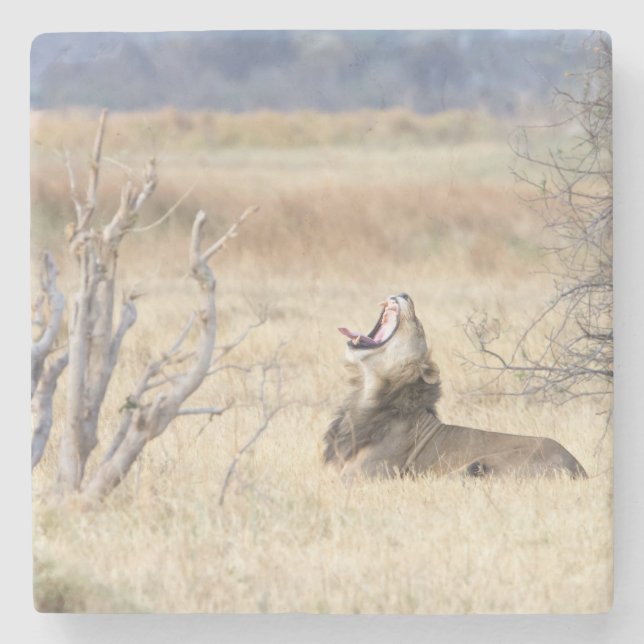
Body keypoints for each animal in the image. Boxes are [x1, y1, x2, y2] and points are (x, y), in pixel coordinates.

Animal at [323, 293, 587, 481]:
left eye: (418, 324)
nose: (404, 294)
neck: (367, 393)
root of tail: (578, 468)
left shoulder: (361, 477)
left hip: (477, 465)